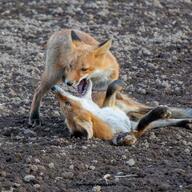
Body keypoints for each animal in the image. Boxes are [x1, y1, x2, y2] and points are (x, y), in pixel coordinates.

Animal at [51, 80, 192, 146]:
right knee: (162, 118)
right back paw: (184, 120)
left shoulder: (111, 107)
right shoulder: (133, 130)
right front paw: (160, 112)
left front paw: (117, 83)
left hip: (130, 107)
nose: (53, 88)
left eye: (66, 103)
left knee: (156, 110)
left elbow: (111, 88)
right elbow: (143, 122)